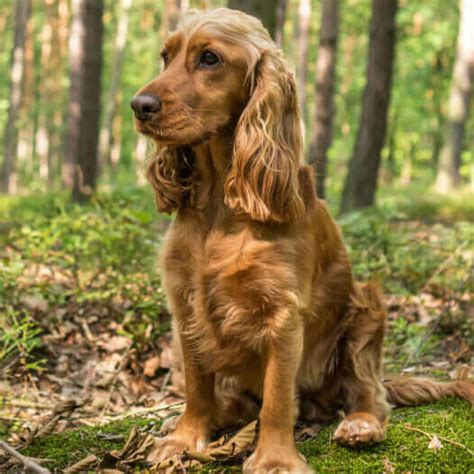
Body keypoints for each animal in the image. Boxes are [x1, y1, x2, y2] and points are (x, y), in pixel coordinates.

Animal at [131, 9, 474, 472]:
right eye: (165, 57)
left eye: (209, 58)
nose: (139, 106)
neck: (221, 202)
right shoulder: (186, 304)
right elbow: (196, 386)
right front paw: (185, 438)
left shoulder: (282, 313)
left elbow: (277, 396)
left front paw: (274, 458)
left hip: (366, 310)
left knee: (370, 393)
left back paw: (361, 424)